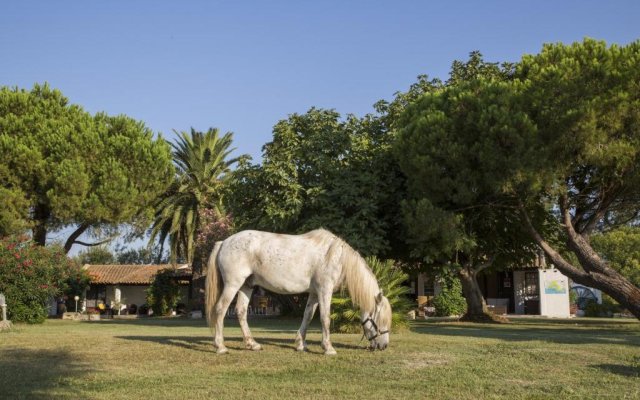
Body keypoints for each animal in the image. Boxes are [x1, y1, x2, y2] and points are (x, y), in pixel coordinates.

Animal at [208, 230, 392, 354]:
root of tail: (224, 242)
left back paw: (252, 344)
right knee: (220, 310)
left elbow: (308, 316)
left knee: (241, 311)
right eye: (380, 320)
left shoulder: (314, 293)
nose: (384, 346)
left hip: (246, 286)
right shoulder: (324, 290)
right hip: (233, 285)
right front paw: (328, 348)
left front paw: (300, 344)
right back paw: (220, 346)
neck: (336, 257)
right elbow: (325, 318)